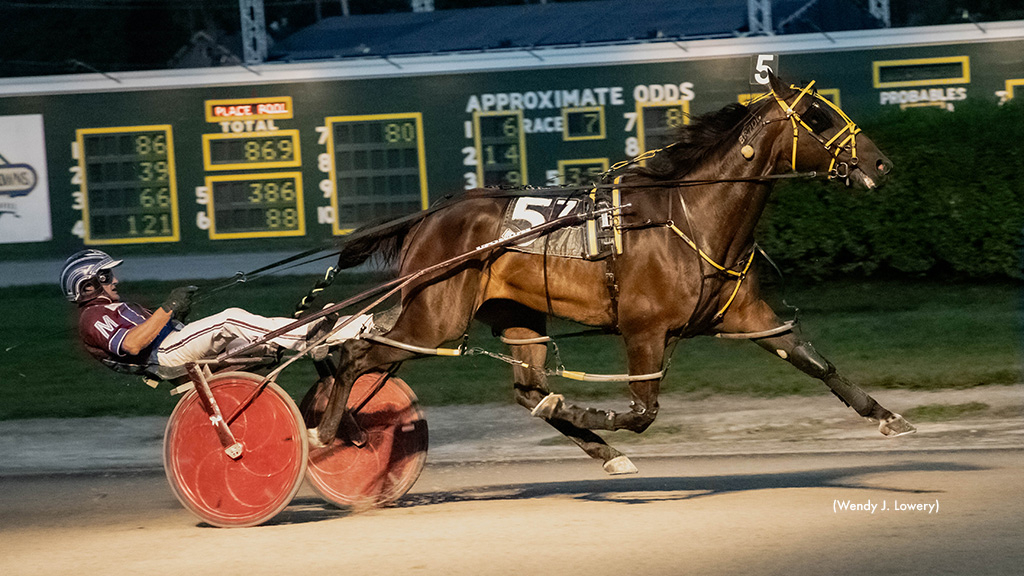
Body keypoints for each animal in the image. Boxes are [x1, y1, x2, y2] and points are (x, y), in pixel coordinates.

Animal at [307, 72, 917, 471]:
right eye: (818, 117)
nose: (882, 162)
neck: (692, 216)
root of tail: (431, 215)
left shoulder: (747, 316)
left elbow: (816, 362)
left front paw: (888, 417)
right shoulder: (643, 330)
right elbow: (643, 411)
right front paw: (588, 410)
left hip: (515, 316)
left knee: (527, 390)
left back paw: (596, 445)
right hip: (435, 318)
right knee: (354, 354)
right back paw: (328, 433)